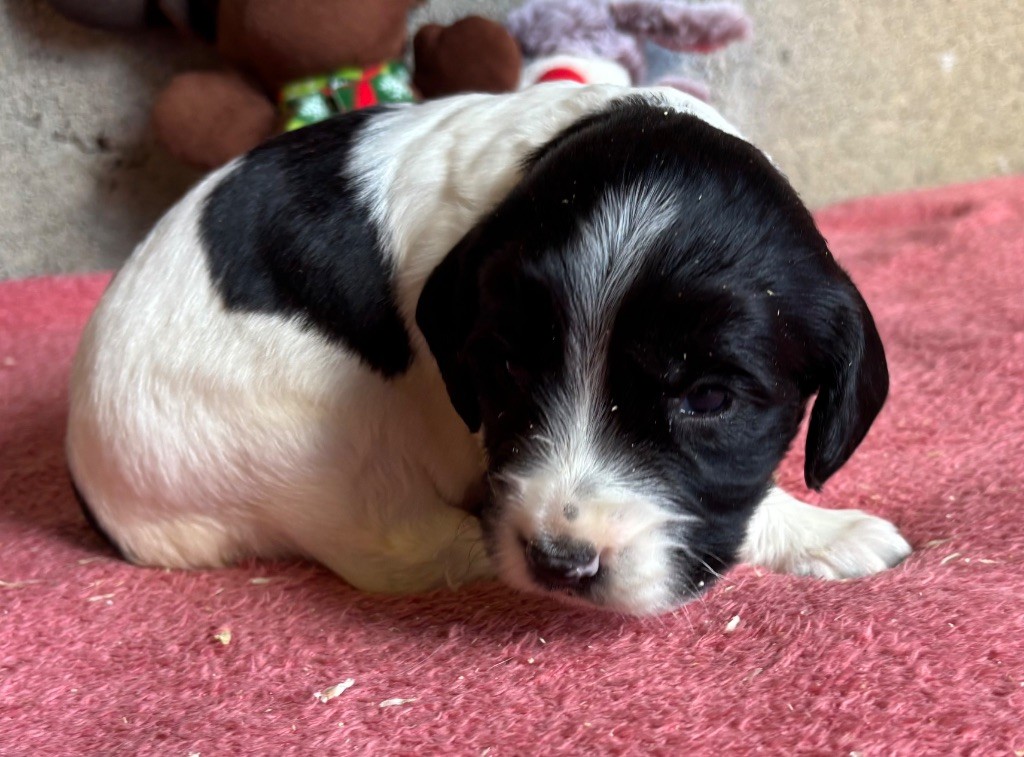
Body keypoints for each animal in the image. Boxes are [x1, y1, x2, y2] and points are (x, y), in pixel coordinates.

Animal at [67, 83, 911, 616]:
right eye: (509, 367)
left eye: (709, 398)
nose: (560, 561)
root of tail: (97, 485)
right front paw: (823, 530)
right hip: (309, 433)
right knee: (404, 544)